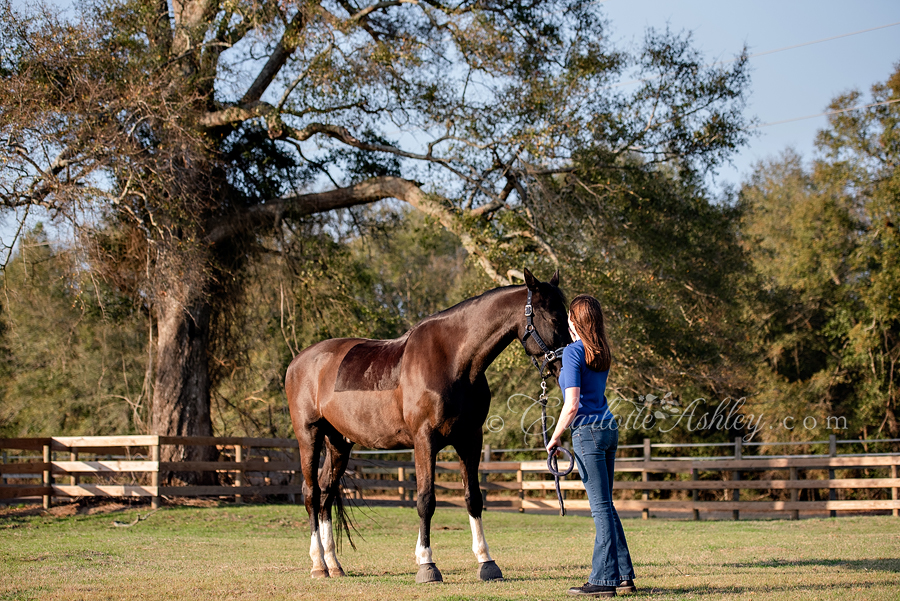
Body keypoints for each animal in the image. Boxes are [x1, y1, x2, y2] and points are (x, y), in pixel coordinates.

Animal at [285, 268, 571, 583]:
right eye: (553, 319)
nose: (564, 366)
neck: (454, 360)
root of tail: (298, 362)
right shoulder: (424, 440)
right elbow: (426, 500)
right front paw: (427, 564)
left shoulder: (471, 439)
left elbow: (473, 498)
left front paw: (486, 562)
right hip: (309, 435)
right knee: (311, 492)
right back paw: (318, 564)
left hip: (338, 442)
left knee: (326, 492)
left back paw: (333, 564)